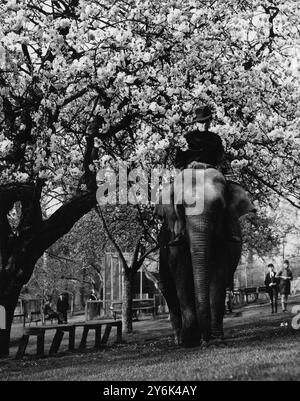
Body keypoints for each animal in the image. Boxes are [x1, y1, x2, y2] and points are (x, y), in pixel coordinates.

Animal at [155, 167, 255, 346]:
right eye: (180, 207)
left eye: (218, 207)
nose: (205, 340)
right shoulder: (174, 239)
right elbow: (181, 274)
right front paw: (190, 340)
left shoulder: (222, 239)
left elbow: (219, 274)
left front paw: (216, 339)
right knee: (167, 287)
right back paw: (179, 340)